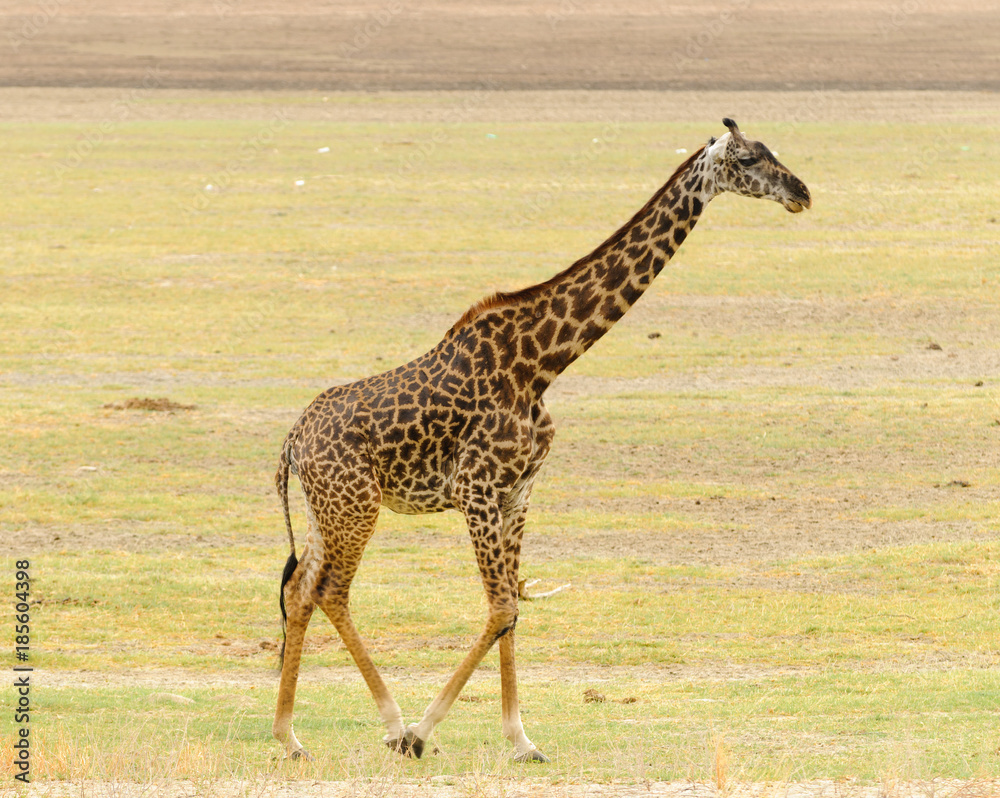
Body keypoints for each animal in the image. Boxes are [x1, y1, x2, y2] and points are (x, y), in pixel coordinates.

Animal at [272, 118, 811, 763]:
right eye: (750, 158)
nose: (802, 193)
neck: (543, 362)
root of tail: (291, 443)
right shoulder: (476, 488)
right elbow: (503, 605)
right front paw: (427, 731)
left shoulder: (518, 491)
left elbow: (512, 610)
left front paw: (521, 739)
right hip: (356, 508)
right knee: (331, 591)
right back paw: (394, 725)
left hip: (328, 510)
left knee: (300, 589)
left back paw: (290, 736)